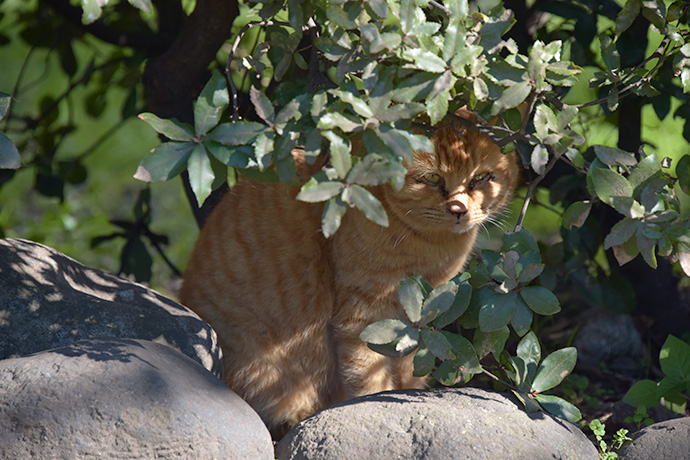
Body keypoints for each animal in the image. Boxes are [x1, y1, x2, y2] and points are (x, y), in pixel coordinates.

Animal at [177, 108, 516, 438]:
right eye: (432, 178)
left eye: (481, 178)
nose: (459, 210)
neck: (432, 248)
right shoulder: (363, 315)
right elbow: (369, 379)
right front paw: (377, 406)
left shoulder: (420, 319)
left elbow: (408, 371)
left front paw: (409, 394)